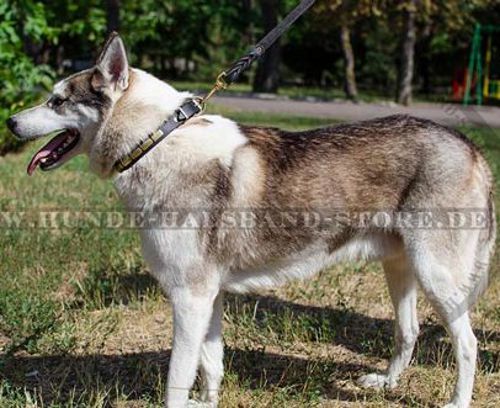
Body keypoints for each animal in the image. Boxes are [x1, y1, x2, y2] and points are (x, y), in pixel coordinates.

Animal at [6, 33, 496, 406]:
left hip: (437, 278)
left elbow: (176, 379)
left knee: (468, 345)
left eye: (57, 101)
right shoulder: (208, 298)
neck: (156, 141)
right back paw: (386, 384)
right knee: (409, 331)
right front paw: (207, 404)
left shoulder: (189, 298)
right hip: (400, 270)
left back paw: (457, 401)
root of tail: (470, 146)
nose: (9, 122)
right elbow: (211, 366)